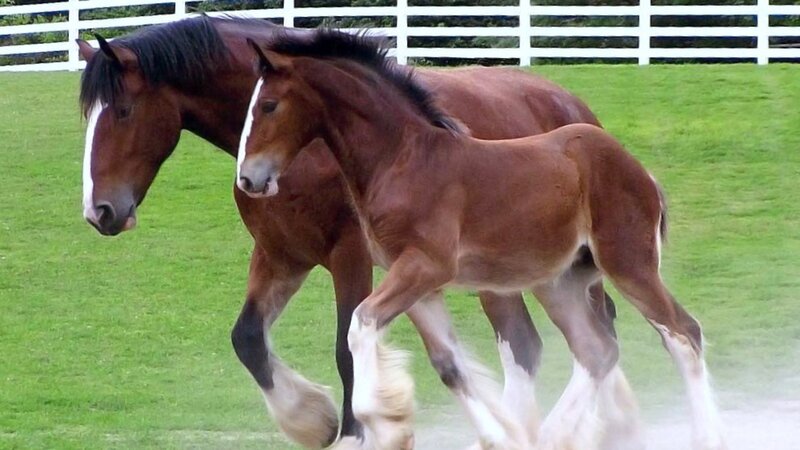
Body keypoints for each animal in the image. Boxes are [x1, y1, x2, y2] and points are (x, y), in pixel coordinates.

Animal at [77, 16, 627, 449]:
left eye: (123, 111)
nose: (100, 211)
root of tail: (573, 108)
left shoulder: (353, 256)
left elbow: (346, 348)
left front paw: (361, 430)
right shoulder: (281, 255)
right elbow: (248, 338)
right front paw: (312, 420)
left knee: (544, 344)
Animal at [238, 29, 727, 450]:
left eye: (269, 105)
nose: (248, 178)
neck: (403, 159)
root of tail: (638, 168)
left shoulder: (424, 266)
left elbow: (360, 326)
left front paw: (381, 423)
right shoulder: (418, 285)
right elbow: (449, 366)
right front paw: (498, 437)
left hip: (629, 264)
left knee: (683, 334)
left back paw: (704, 436)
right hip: (562, 281)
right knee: (598, 350)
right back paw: (552, 436)